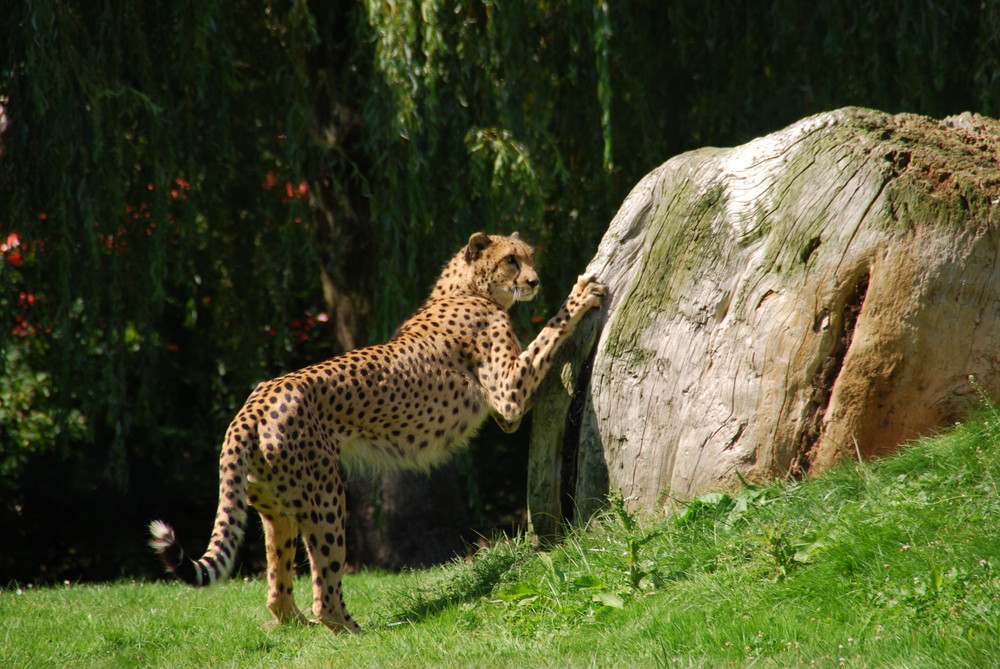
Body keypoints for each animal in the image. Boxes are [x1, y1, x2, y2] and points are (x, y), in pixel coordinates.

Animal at [148, 234, 600, 632]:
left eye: (530, 257)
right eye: (511, 260)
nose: (534, 281)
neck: (467, 288)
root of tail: (255, 400)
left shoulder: (506, 407)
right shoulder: (508, 400)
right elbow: (549, 333)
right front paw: (580, 294)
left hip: (276, 507)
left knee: (277, 588)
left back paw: (295, 624)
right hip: (326, 497)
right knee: (325, 592)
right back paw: (358, 631)